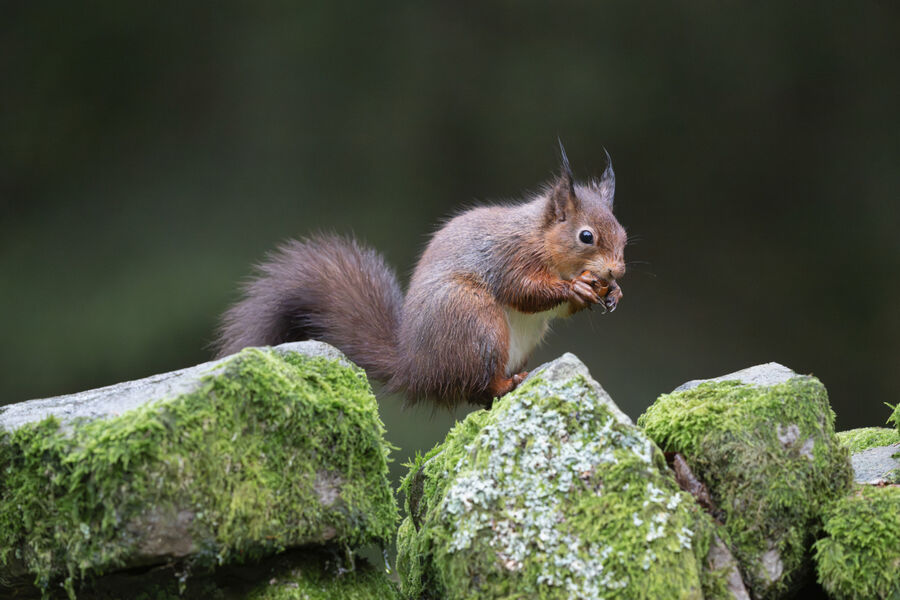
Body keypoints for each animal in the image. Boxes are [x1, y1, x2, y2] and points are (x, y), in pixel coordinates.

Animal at [217, 145, 624, 408]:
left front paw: (613, 292)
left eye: (621, 231)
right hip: (475, 321)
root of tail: (416, 369)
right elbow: (524, 291)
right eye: (586, 236)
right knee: (479, 387)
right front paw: (577, 286)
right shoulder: (510, 258)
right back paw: (509, 383)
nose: (617, 269)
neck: (539, 236)